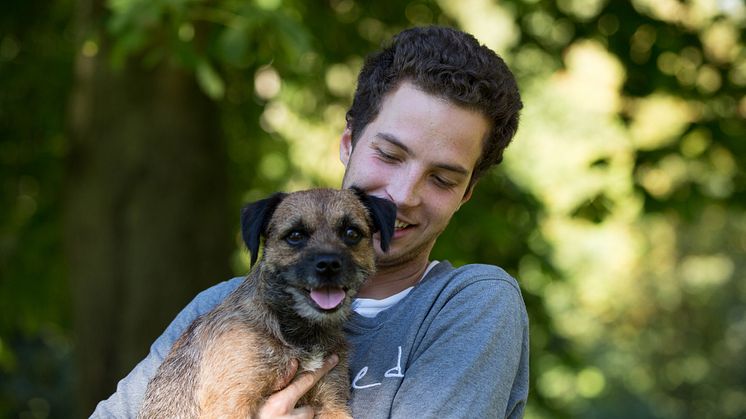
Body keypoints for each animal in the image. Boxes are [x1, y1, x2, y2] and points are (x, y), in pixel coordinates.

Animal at [138, 189, 396, 419]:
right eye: (295, 236)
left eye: (351, 233)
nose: (329, 264)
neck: (301, 332)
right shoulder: (231, 403)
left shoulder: (332, 403)